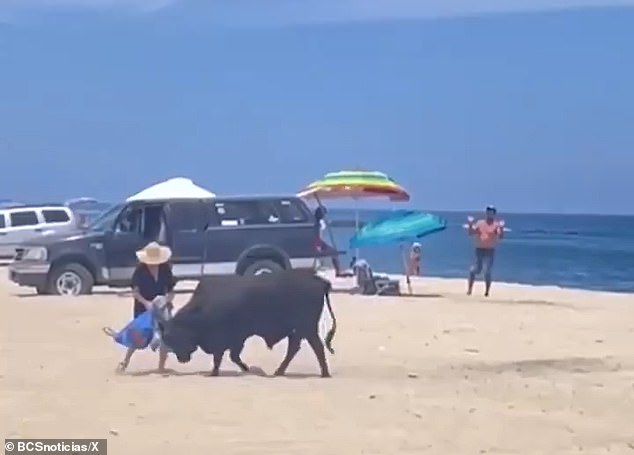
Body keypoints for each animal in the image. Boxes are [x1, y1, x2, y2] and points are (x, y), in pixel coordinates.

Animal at [162, 270, 336, 378]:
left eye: (173, 336)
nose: (181, 359)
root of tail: (318, 280)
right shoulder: (237, 339)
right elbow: (233, 356)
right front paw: (246, 369)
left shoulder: (225, 339)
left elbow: (221, 356)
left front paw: (214, 372)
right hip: (299, 331)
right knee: (294, 349)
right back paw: (279, 372)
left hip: (307, 329)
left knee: (316, 348)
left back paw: (324, 373)